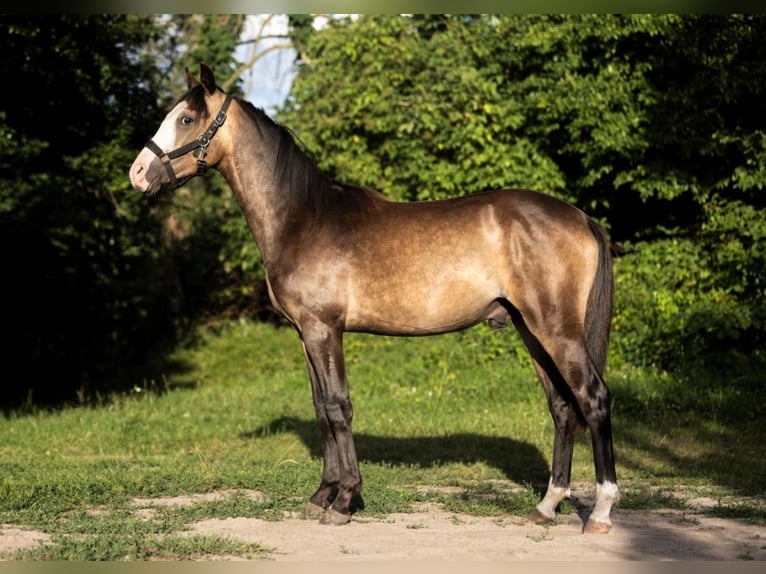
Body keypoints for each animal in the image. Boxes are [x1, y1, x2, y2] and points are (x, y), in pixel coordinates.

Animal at [130, 63, 624, 536]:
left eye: (186, 119)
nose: (137, 173)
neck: (303, 218)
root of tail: (582, 218)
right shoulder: (306, 335)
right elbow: (321, 409)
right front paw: (322, 495)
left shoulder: (324, 330)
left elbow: (338, 408)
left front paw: (344, 501)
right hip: (531, 330)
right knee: (563, 406)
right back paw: (546, 505)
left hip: (556, 330)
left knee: (593, 397)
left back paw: (600, 512)